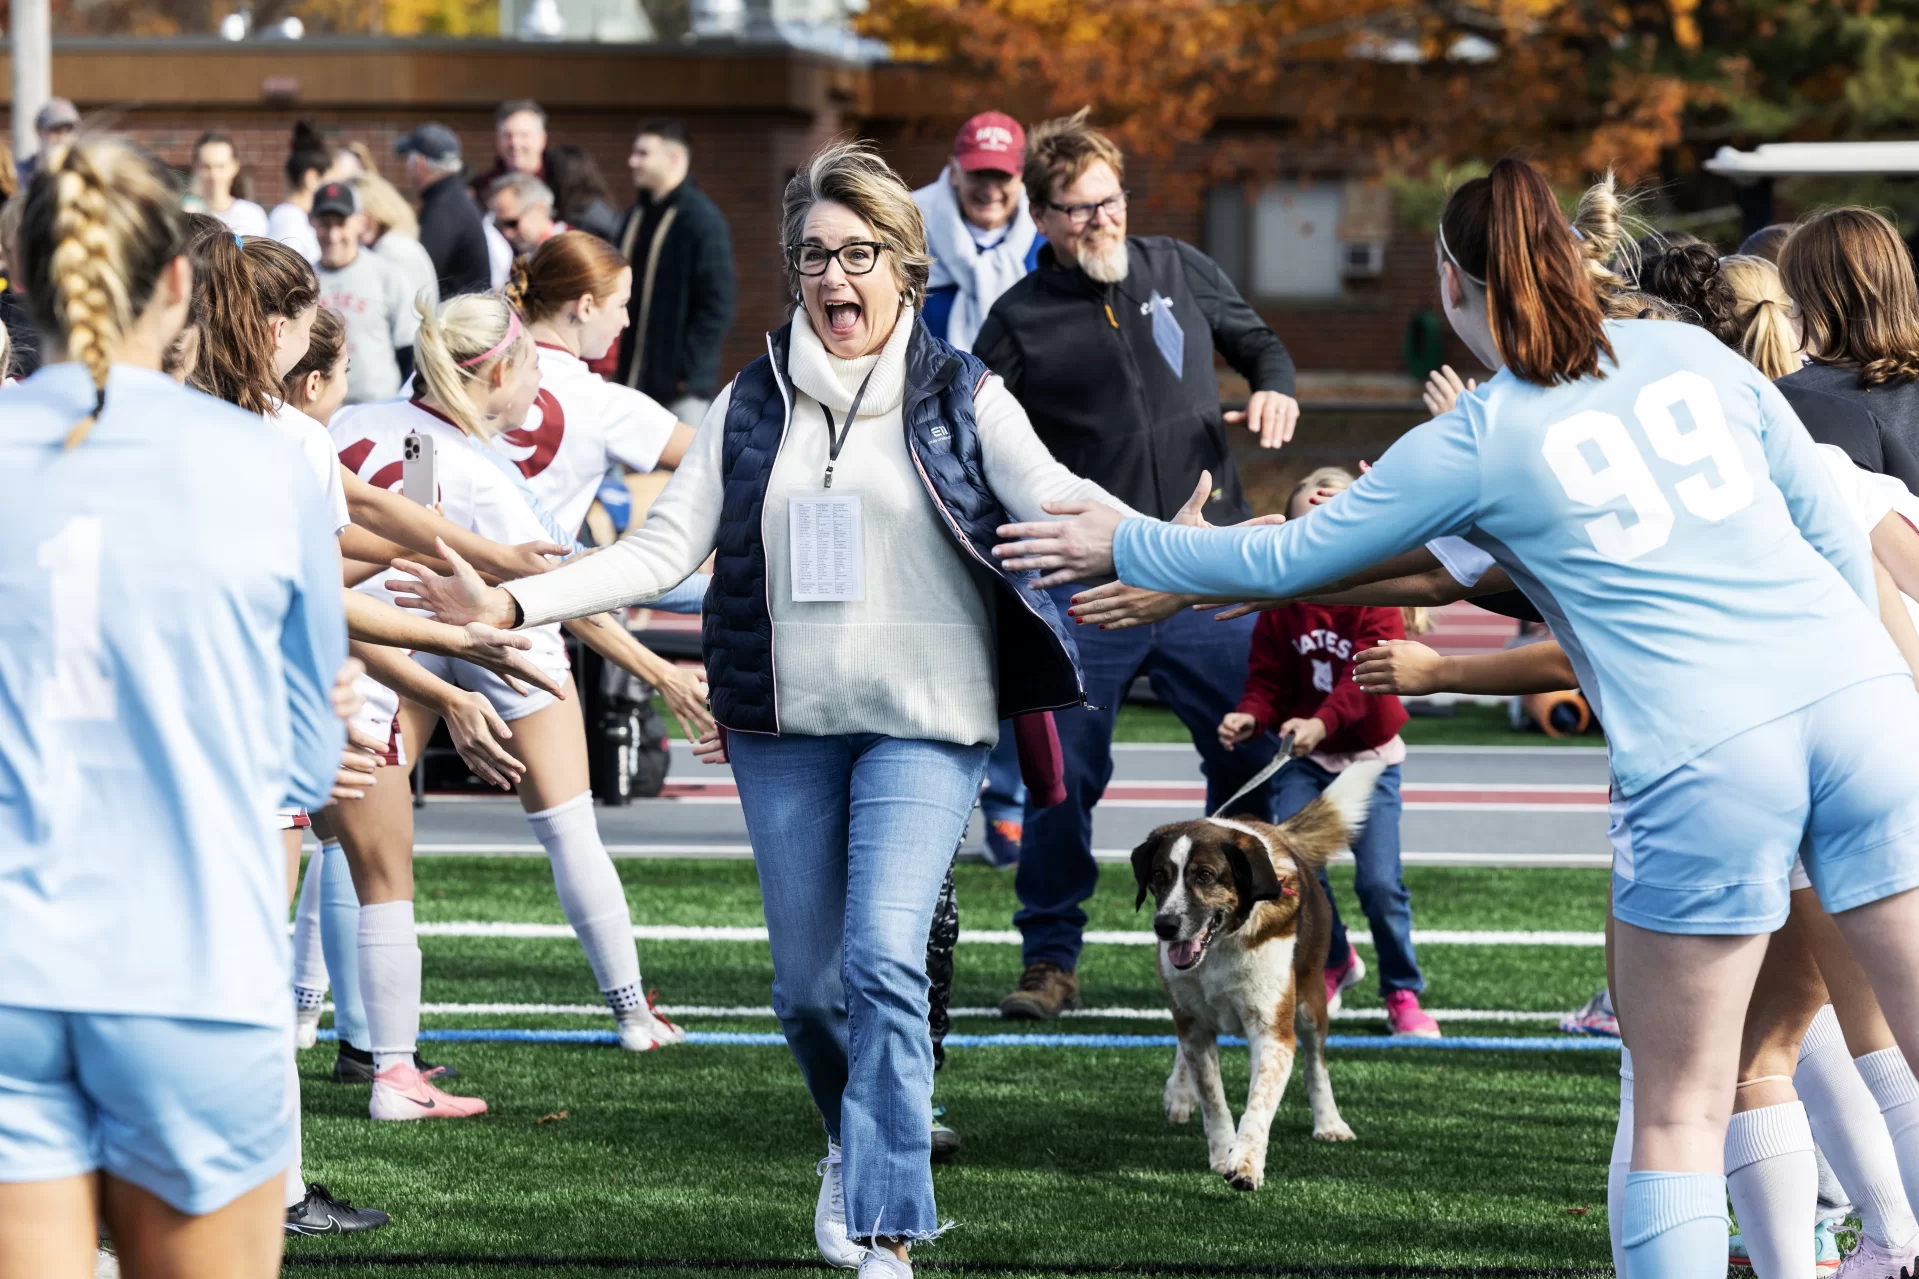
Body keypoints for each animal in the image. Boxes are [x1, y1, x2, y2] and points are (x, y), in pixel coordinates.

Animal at [1120, 756, 1381, 1182]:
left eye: (1205, 875)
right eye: (1159, 876)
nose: (1165, 925)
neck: (1222, 945)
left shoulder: (1273, 1032)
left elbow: (1259, 1102)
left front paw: (1244, 1162)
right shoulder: (1193, 1024)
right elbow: (1212, 1097)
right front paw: (1219, 1148)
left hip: (1310, 1002)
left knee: (1316, 1064)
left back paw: (1329, 1122)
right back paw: (1180, 1092)